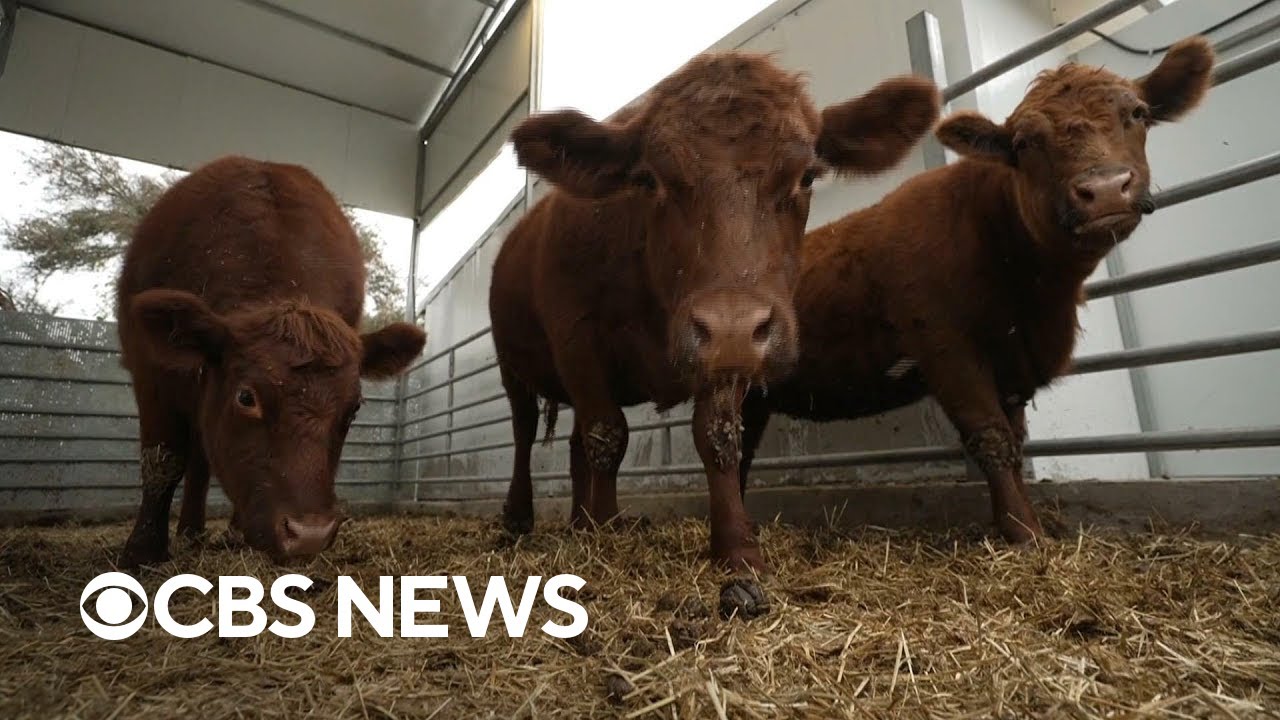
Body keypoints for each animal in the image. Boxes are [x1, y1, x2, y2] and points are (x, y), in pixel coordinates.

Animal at [116, 156, 424, 566]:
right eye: (247, 397)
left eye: (355, 407)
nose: (309, 534)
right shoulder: (151, 374)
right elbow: (162, 460)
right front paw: (143, 548)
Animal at [488, 49, 942, 609]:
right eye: (650, 179)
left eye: (808, 176)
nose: (730, 323)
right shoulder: (576, 336)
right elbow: (609, 436)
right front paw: (607, 531)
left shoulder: (729, 357)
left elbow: (718, 437)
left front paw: (736, 547)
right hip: (513, 367)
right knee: (526, 432)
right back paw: (522, 516)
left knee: (574, 444)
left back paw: (578, 520)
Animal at [737, 39, 1213, 540]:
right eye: (1024, 143)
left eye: (1137, 113)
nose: (1103, 189)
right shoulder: (946, 348)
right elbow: (990, 437)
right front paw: (1023, 533)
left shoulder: (1013, 370)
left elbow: (1015, 441)